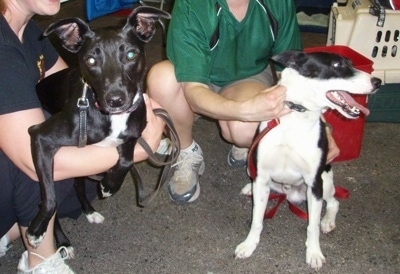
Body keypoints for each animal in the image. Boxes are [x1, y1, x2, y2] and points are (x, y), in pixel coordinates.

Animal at [234, 50, 382, 270]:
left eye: (350, 63)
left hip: (325, 182)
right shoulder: (263, 176)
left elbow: (312, 225)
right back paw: (247, 188)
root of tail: (290, 195)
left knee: (334, 203)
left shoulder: (314, 183)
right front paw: (249, 245)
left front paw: (314, 253)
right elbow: (257, 219)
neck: (296, 115)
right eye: (337, 65)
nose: (377, 81)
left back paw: (328, 221)